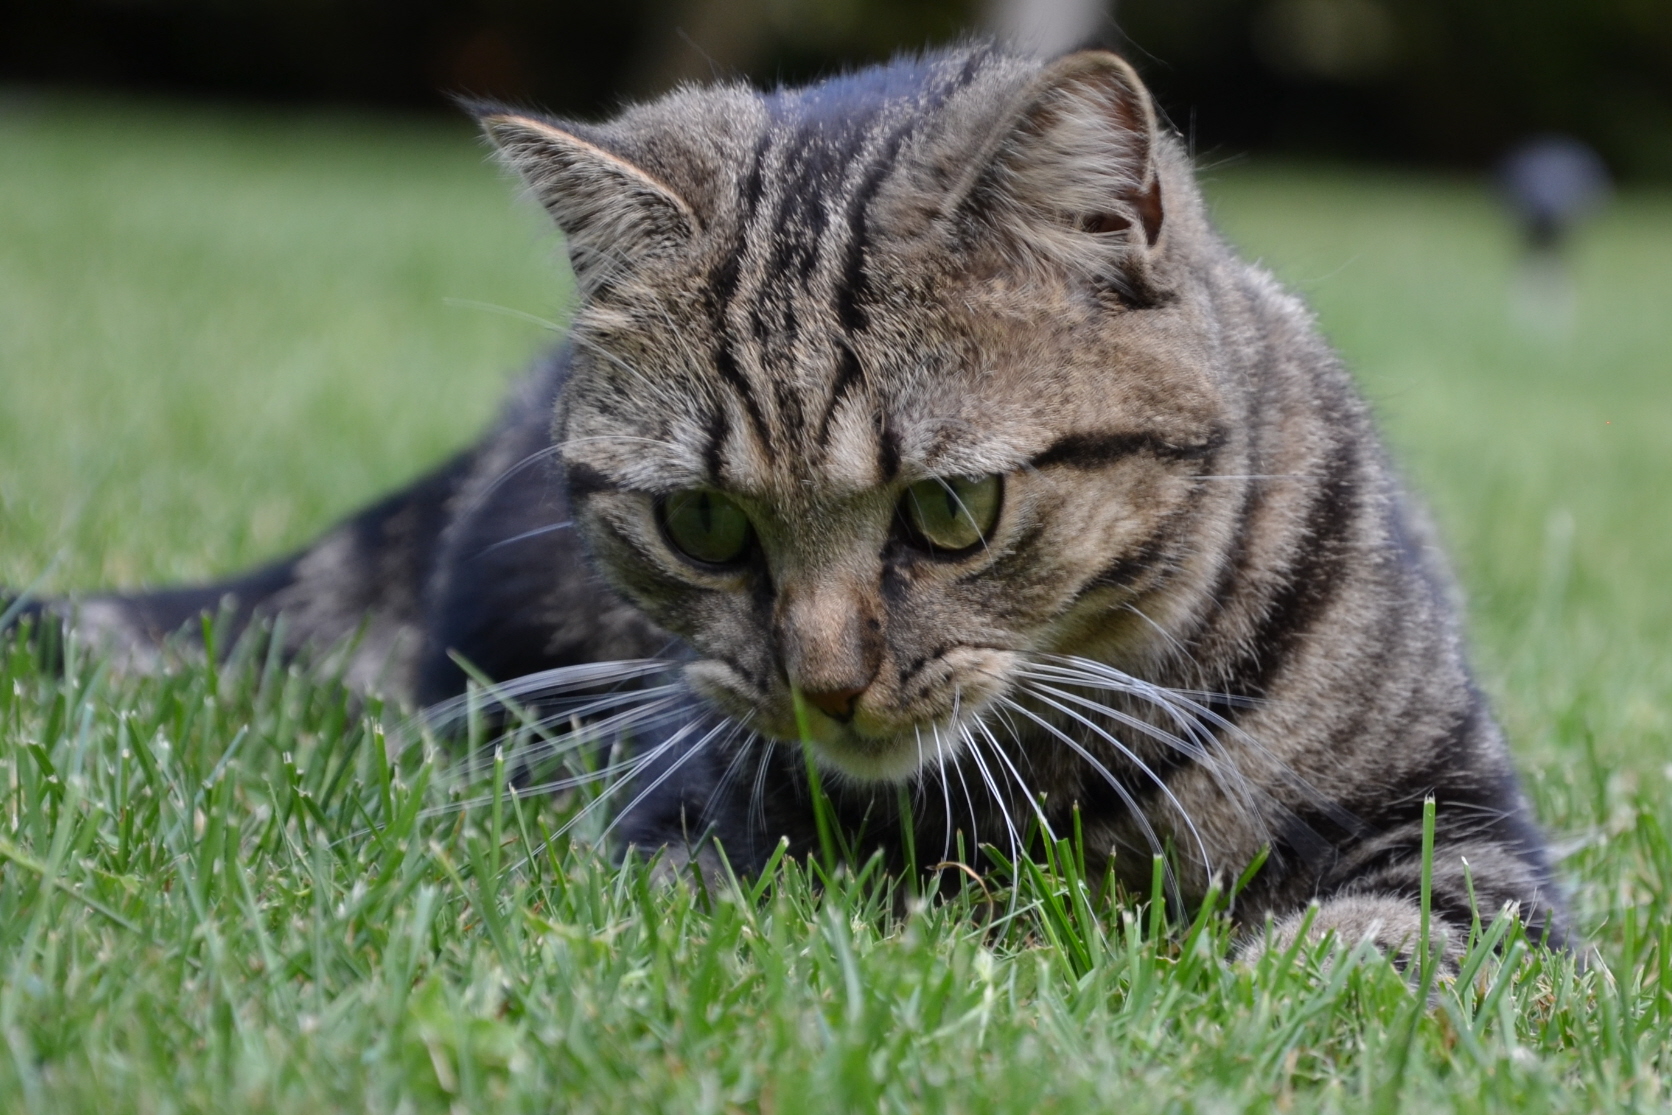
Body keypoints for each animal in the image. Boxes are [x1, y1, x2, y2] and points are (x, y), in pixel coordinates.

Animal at [3, 45, 1564, 962]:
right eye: (703, 524)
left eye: (951, 509)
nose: (825, 681)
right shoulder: (680, 815)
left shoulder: (1458, 818)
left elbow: (1399, 939)